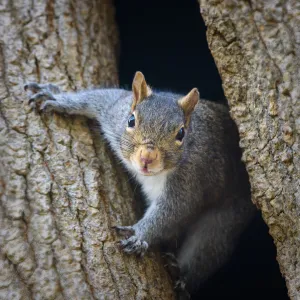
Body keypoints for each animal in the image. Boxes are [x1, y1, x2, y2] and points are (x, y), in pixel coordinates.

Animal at [24, 72, 256, 296]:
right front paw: (57, 97)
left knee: (207, 249)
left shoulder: (191, 178)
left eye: (181, 133)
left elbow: (172, 212)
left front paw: (139, 235)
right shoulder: (114, 111)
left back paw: (181, 276)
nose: (147, 157)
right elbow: (96, 98)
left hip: (225, 219)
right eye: (131, 120)